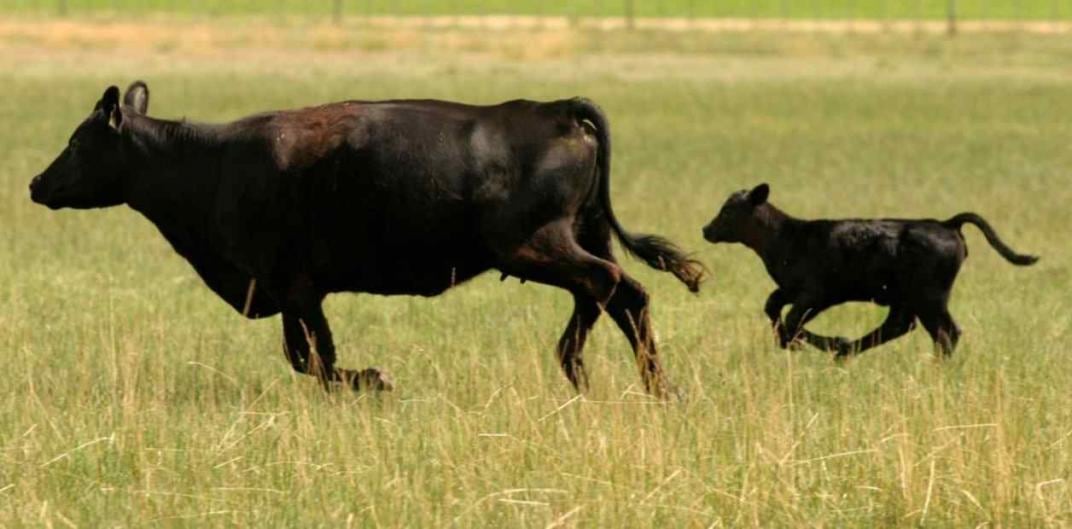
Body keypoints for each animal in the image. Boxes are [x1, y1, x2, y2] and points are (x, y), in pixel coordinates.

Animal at [27, 83, 703, 394]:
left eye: (78, 141)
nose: (35, 183)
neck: (210, 165)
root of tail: (554, 108)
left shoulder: (294, 286)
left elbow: (315, 359)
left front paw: (376, 379)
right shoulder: (294, 291)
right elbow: (306, 357)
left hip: (535, 245)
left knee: (606, 285)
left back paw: (591, 373)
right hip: (577, 236)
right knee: (624, 294)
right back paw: (648, 387)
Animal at [698, 183, 1033, 356]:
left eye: (728, 211)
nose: (706, 229)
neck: (786, 238)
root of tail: (946, 223)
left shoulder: (816, 293)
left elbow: (793, 319)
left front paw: (817, 341)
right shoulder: (790, 289)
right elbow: (772, 307)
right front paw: (792, 341)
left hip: (930, 295)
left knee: (944, 331)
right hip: (906, 297)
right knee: (902, 325)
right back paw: (848, 351)